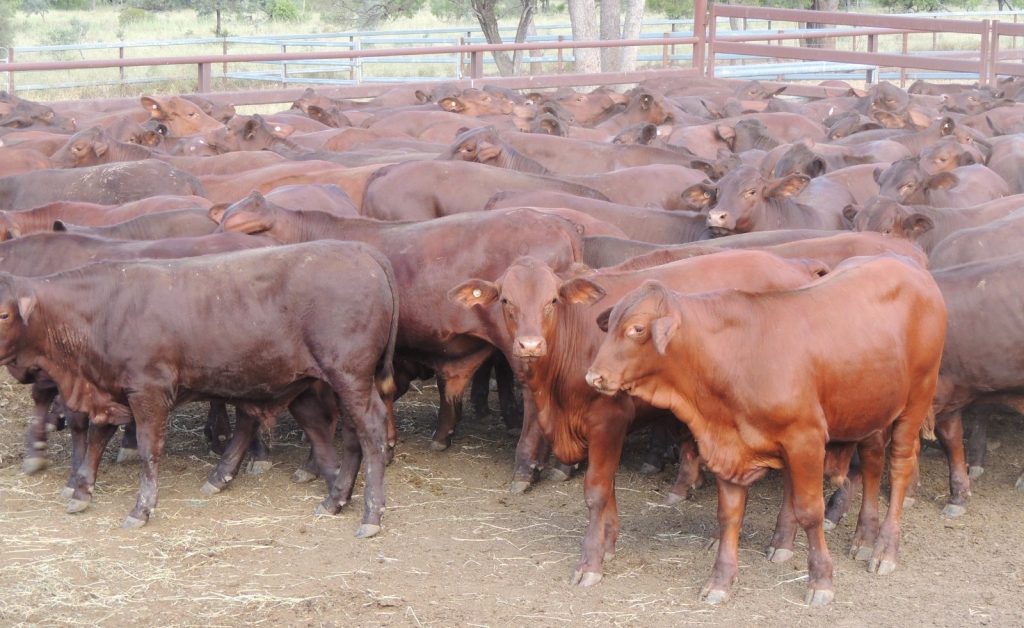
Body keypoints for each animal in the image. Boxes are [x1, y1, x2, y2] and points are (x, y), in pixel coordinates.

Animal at [0, 241, 398, 536]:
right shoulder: (109, 390)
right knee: (347, 435)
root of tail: (362, 250)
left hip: (350, 375)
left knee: (371, 432)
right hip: (332, 383)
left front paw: (141, 508)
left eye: (4, 313)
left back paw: (371, 515)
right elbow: (96, 440)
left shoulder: (148, 391)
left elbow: (148, 449)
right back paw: (335, 499)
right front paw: (82, 492)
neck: (104, 310)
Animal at [585, 255, 946, 606]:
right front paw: (720, 581)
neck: (735, 356)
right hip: (870, 407)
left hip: (917, 398)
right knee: (871, 463)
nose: (593, 377)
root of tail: (908, 265)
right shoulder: (728, 446)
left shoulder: (805, 439)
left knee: (899, 468)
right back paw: (863, 537)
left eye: (636, 329)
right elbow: (729, 514)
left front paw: (821, 580)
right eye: (610, 324)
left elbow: (810, 511)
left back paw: (885, 549)